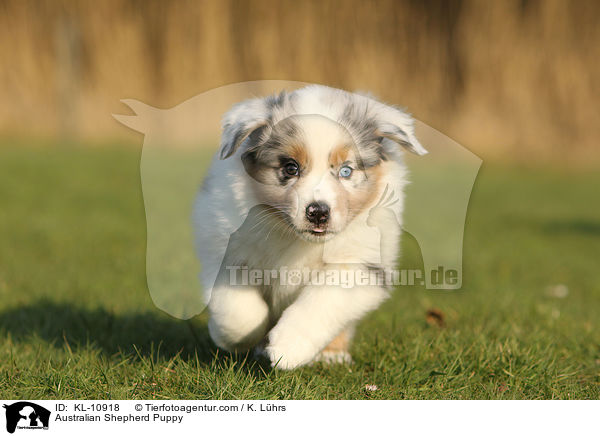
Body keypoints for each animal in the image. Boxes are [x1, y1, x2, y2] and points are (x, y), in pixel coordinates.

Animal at [193, 84, 426, 368]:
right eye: (290, 168)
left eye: (346, 171)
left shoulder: (360, 263)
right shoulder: (226, 251)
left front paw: (287, 347)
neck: (297, 239)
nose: (318, 213)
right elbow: (238, 309)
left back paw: (331, 354)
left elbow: (320, 302)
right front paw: (235, 338)